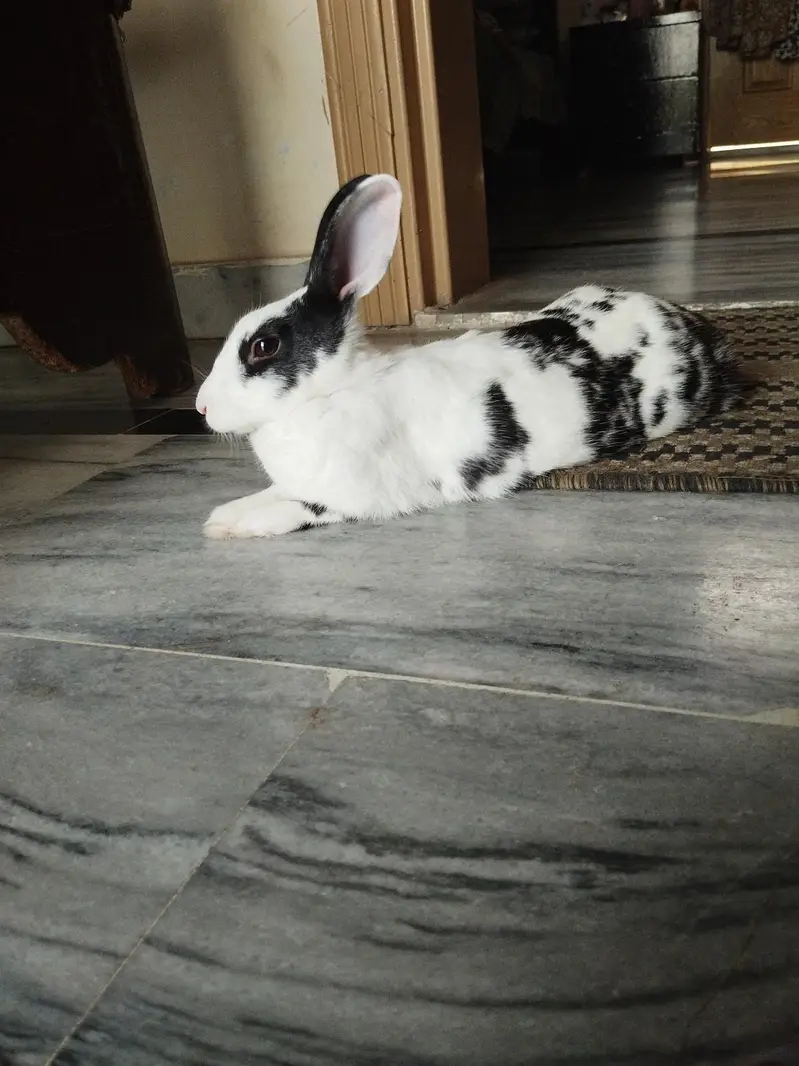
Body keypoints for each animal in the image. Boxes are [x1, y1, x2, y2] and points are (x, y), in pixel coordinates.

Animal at [196, 173, 740, 539]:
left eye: (264, 346)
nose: (200, 406)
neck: (331, 392)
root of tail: (691, 325)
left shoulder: (351, 496)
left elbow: (293, 508)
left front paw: (227, 525)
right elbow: (269, 493)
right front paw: (223, 514)